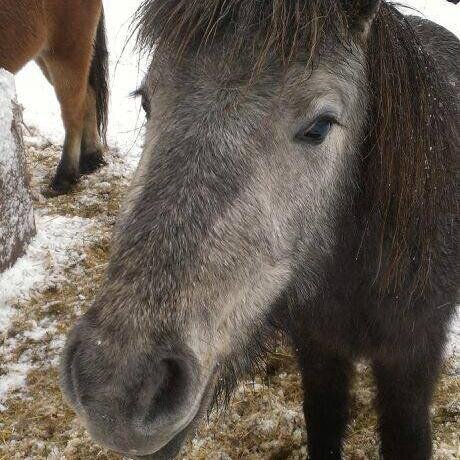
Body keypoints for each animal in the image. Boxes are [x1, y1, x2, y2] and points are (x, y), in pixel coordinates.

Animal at [0, 0, 108, 194]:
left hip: (66, 53)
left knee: (74, 114)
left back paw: (65, 177)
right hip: (45, 53)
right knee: (88, 96)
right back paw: (91, 158)